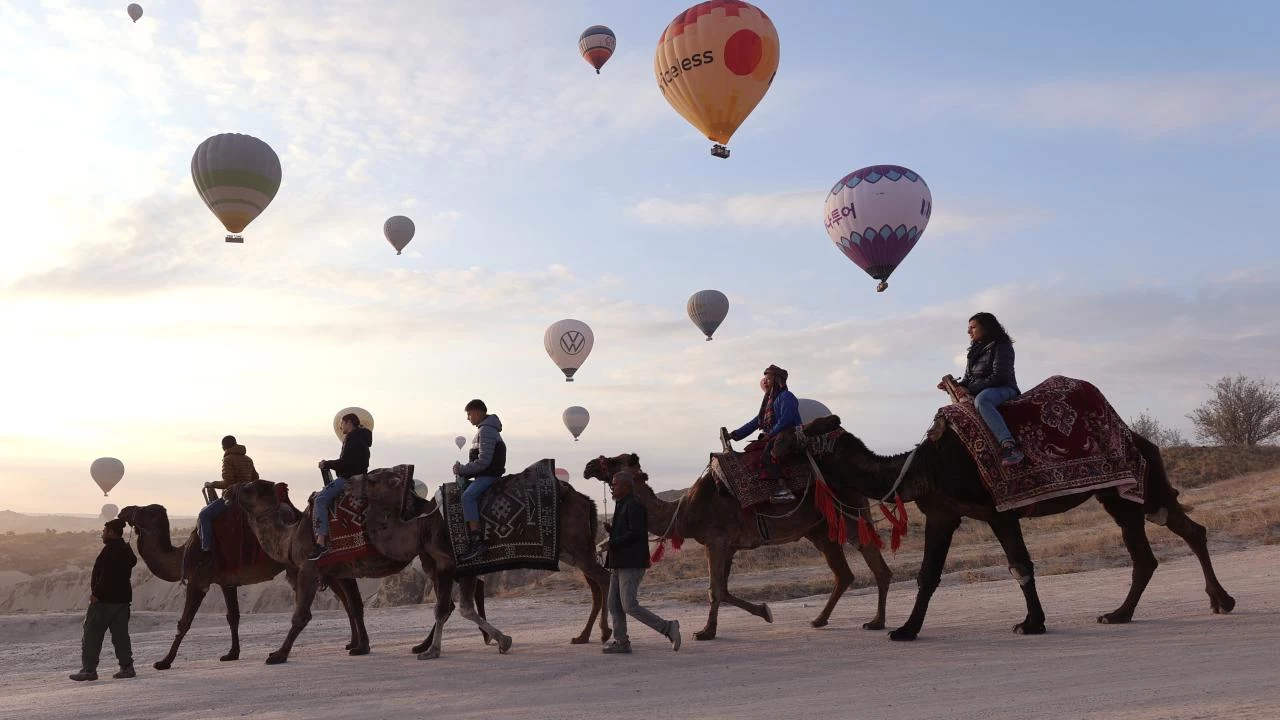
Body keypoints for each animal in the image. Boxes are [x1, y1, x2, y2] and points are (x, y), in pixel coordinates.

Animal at [117, 504, 366, 666]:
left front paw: (164, 661)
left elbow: (184, 622)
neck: (182, 553)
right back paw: (353, 643)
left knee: (340, 597)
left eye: (145, 511)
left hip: (304, 563)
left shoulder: (198, 580)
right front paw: (232, 653)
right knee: (346, 598)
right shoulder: (226, 582)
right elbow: (233, 616)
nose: (123, 511)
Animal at [222, 476, 501, 661]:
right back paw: (426, 645)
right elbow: (354, 607)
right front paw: (360, 646)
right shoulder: (342, 571)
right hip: (428, 555)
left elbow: (301, 615)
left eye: (250, 487)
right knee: (452, 595)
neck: (290, 538)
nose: (228, 490)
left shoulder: (309, 568)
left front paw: (279, 654)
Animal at [348, 466, 611, 655]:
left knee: (604, 578)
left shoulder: (449, 563)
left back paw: (607, 634)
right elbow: (464, 608)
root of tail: (585, 499)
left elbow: (443, 608)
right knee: (595, 585)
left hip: (577, 547)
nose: (350, 481)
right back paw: (584, 636)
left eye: (373, 479)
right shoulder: (464, 569)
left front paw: (432, 651)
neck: (422, 525)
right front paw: (503, 640)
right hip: (574, 551)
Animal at [586, 450, 890, 635]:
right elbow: (724, 589)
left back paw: (877, 622)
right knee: (844, 573)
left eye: (614, 460)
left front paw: (706, 632)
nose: (588, 466)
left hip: (848, 515)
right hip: (821, 532)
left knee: (876, 565)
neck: (684, 512)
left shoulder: (715, 542)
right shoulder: (728, 547)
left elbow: (715, 590)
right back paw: (820, 619)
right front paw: (763, 611)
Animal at [773, 415, 1233, 638]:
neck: (922, 466)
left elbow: (1020, 565)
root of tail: (1142, 439)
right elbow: (928, 575)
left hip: (1137, 489)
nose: (770, 446)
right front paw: (907, 629)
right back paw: (1126, 613)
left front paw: (1032, 623)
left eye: (795, 434)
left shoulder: (998, 512)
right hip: (1120, 497)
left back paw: (1215, 601)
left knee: (1177, 535)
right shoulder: (942, 514)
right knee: (1156, 548)